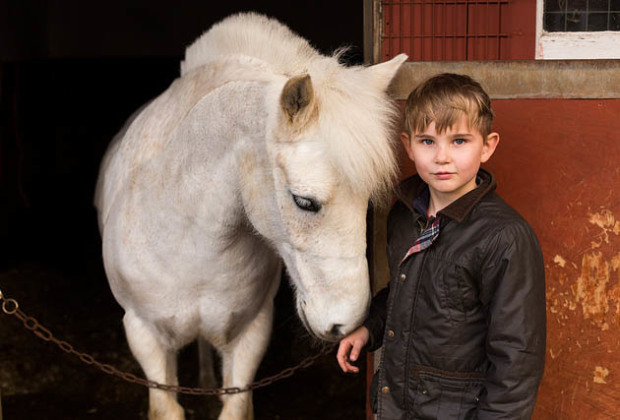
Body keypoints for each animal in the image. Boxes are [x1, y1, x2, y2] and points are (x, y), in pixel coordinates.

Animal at [95, 12, 406, 420]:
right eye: (304, 202)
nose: (346, 322)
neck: (189, 238)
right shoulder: (144, 336)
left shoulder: (250, 335)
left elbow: (236, 405)